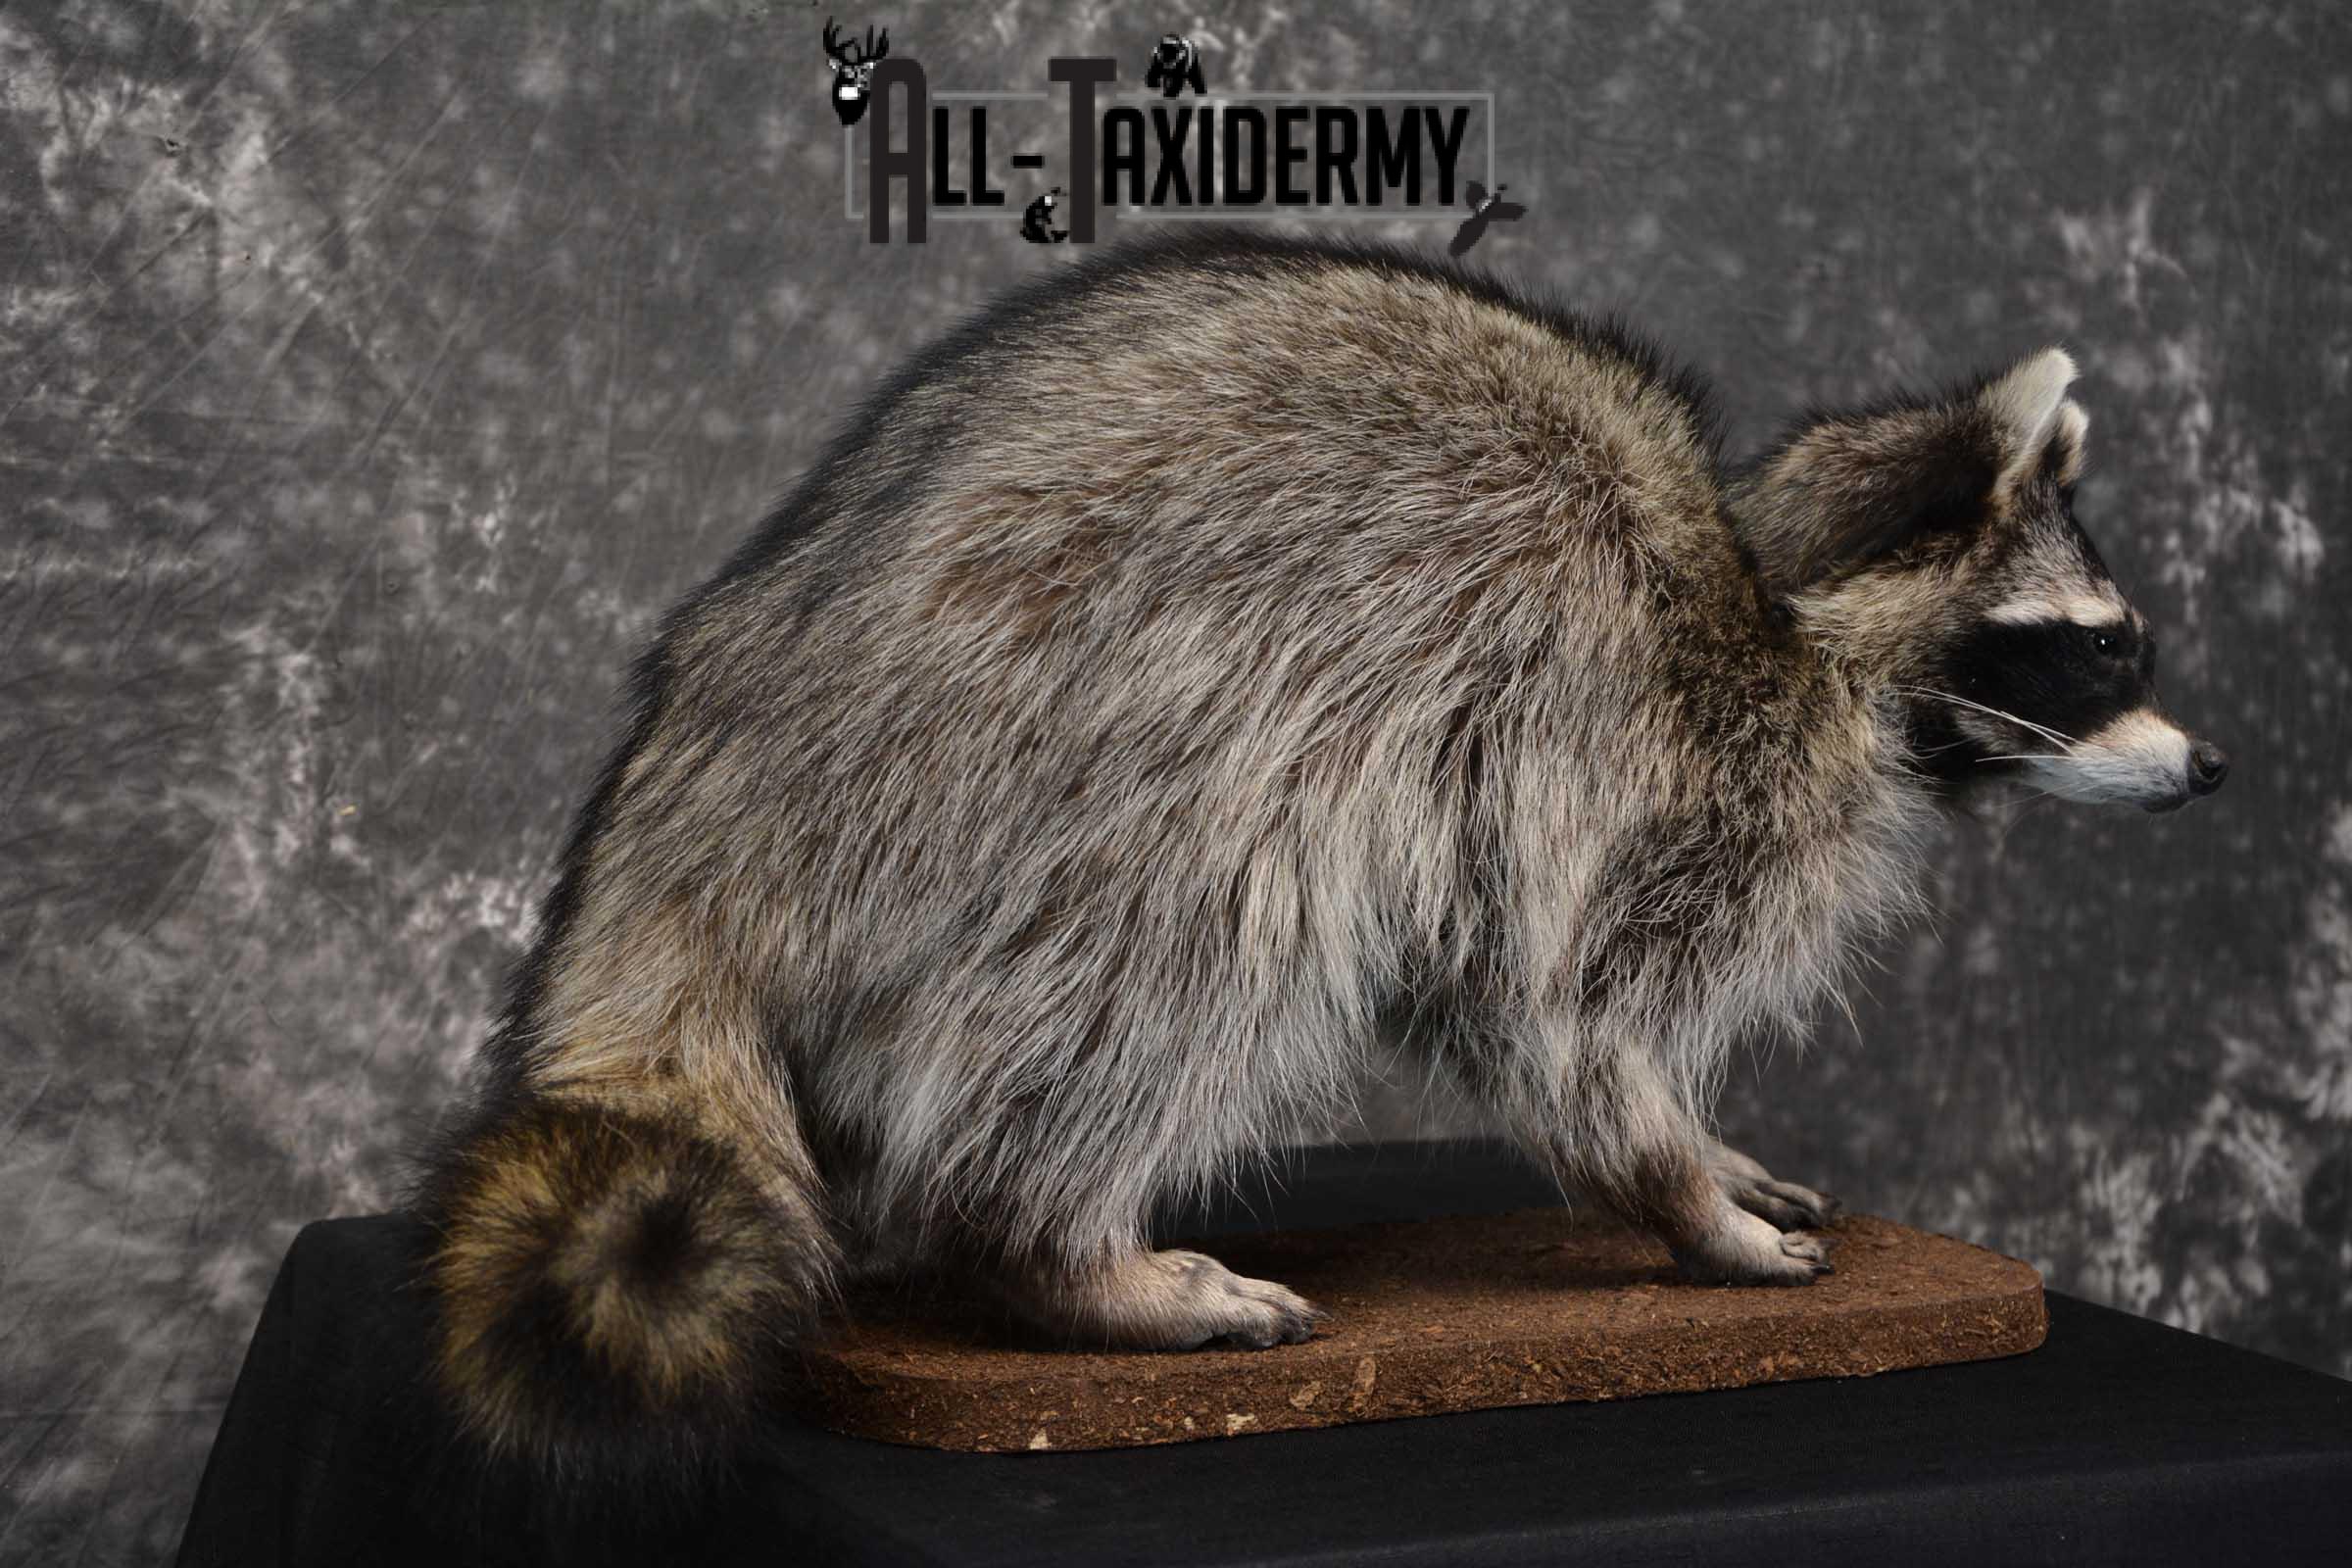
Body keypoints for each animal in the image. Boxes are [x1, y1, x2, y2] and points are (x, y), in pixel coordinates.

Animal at [416, 229, 2225, 1501]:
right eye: (2099, 649)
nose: (2214, 768)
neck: (1780, 608)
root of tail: (725, 750)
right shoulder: (1593, 734)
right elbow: (1559, 1012)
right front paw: (1678, 1184)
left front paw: (1711, 1145)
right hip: (1092, 745)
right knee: (1191, 944)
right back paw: (1062, 1250)